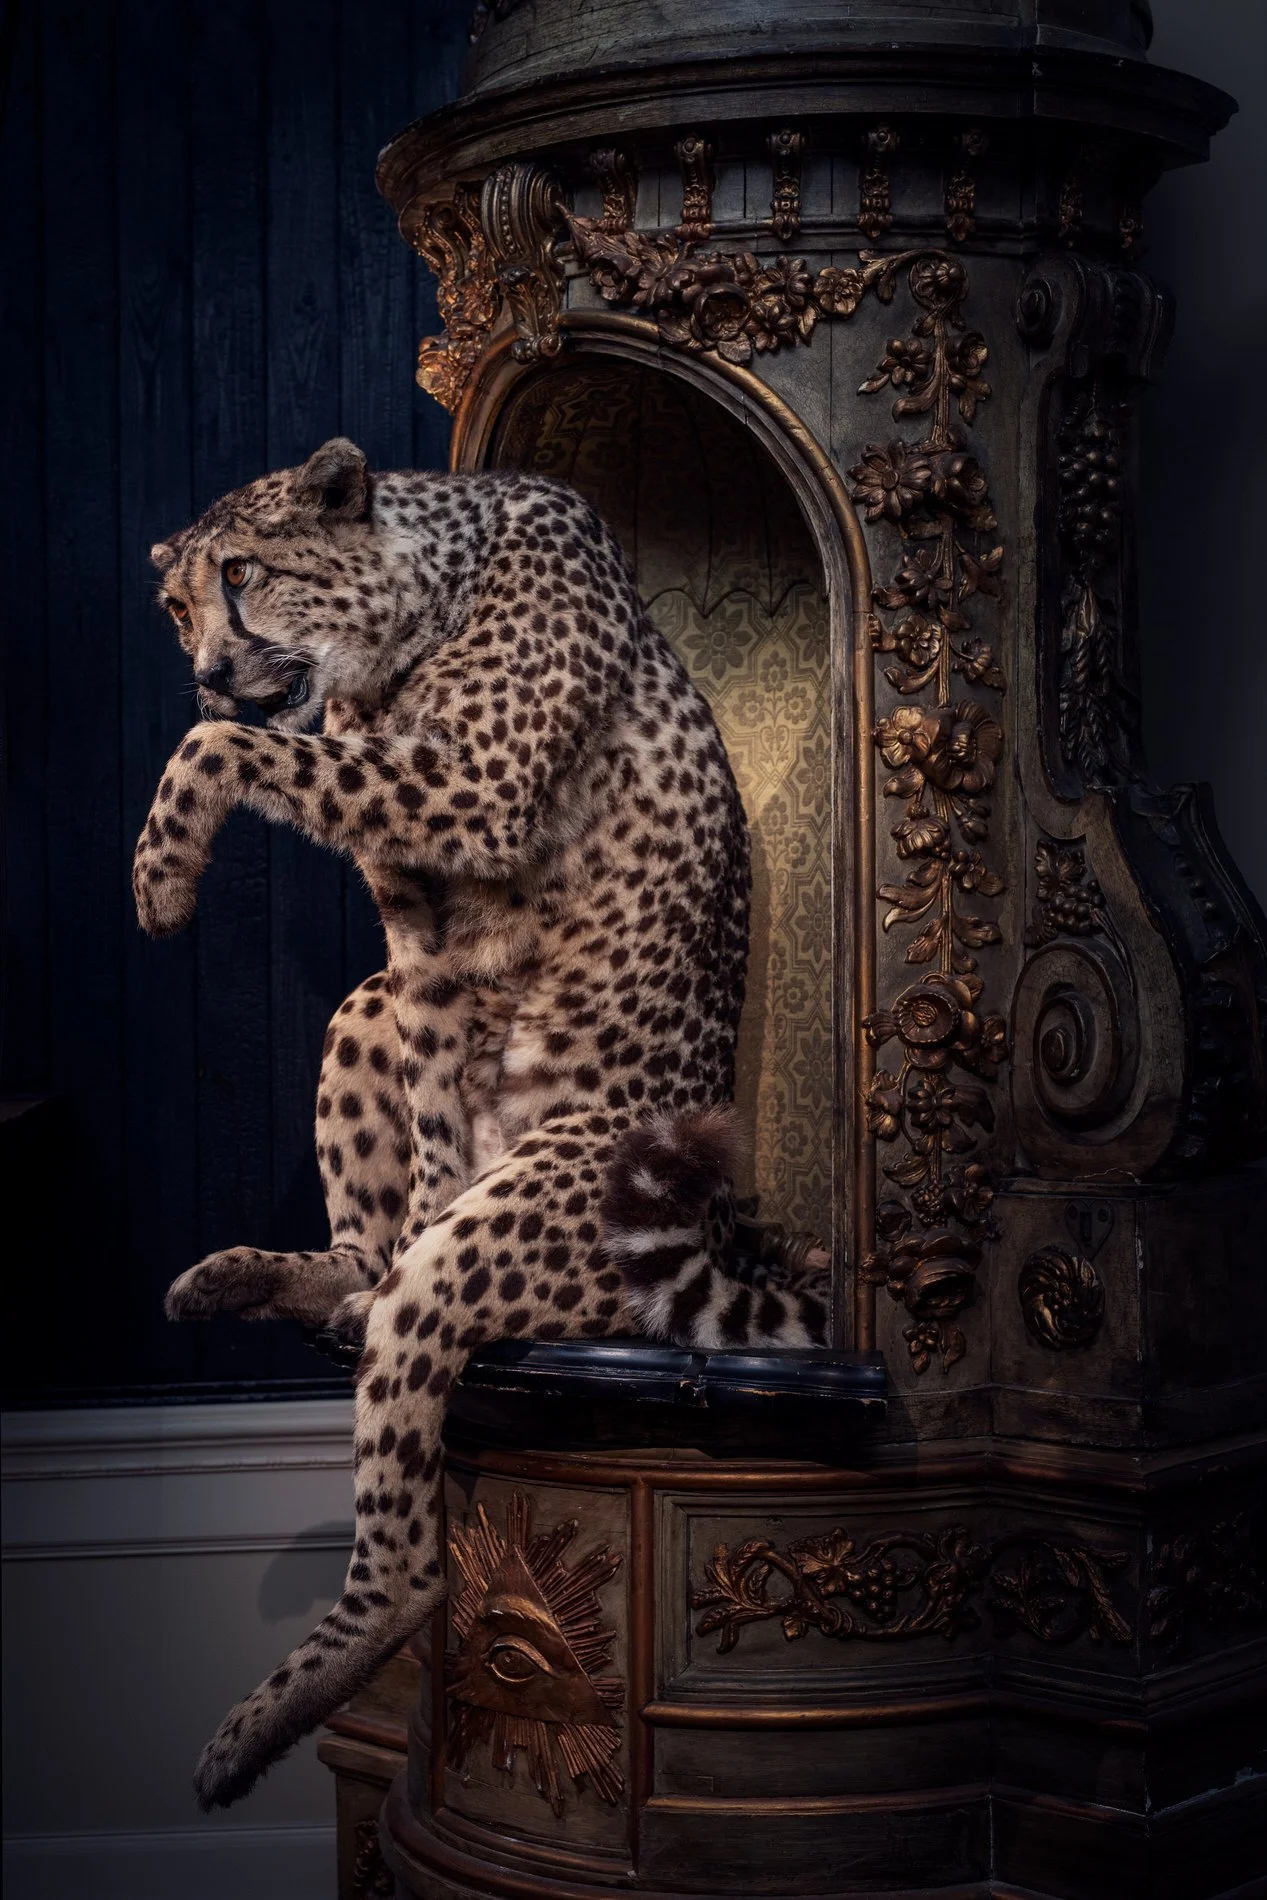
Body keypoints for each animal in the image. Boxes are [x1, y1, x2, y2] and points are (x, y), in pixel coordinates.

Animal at [134, 436, 829, 1810]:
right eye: (177, 606)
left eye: (242, 574)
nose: (206, 665)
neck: (409, 618)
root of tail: (722, 1236)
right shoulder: (417, 940)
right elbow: (430, 1108)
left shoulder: (474, 785)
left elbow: (213, 749)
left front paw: (163, 868)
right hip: (357, 1009)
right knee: (373, 1244)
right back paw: (268, 1279)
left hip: (541, 1233)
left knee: (413, 1558)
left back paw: (272, 1718)